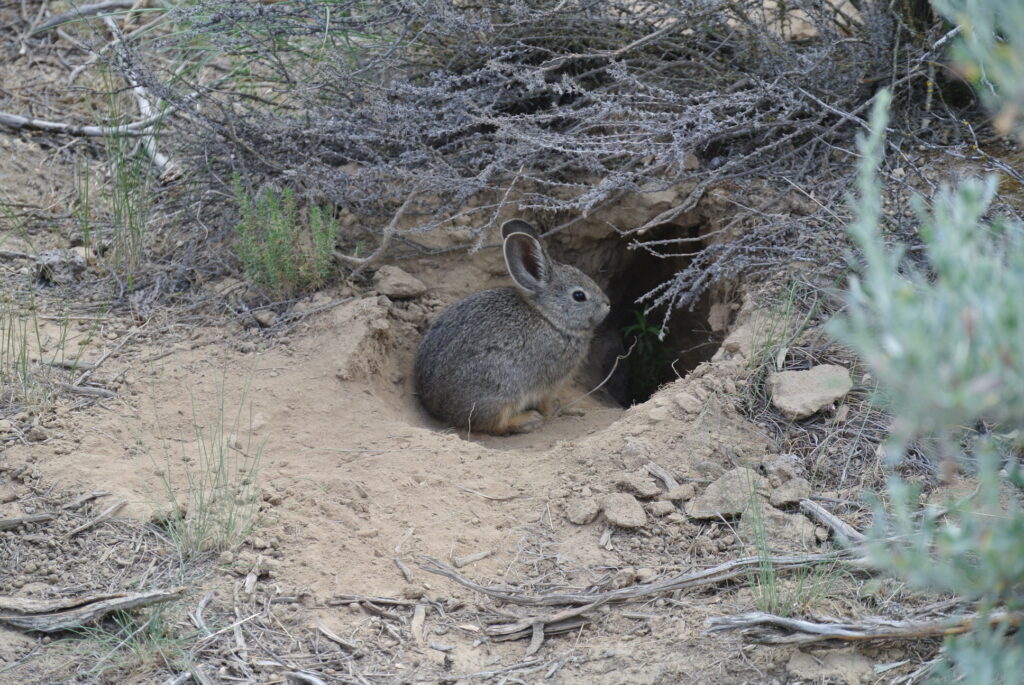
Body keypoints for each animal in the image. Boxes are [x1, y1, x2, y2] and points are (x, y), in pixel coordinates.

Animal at [413, 219, 606, 432]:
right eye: (579, 296)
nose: (608, 304)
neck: (550, 317)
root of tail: (438, 409)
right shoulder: (549, 382)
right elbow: (545, 402)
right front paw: (554, 410)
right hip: (501, 391)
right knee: (496, 424)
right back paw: (528, 420)